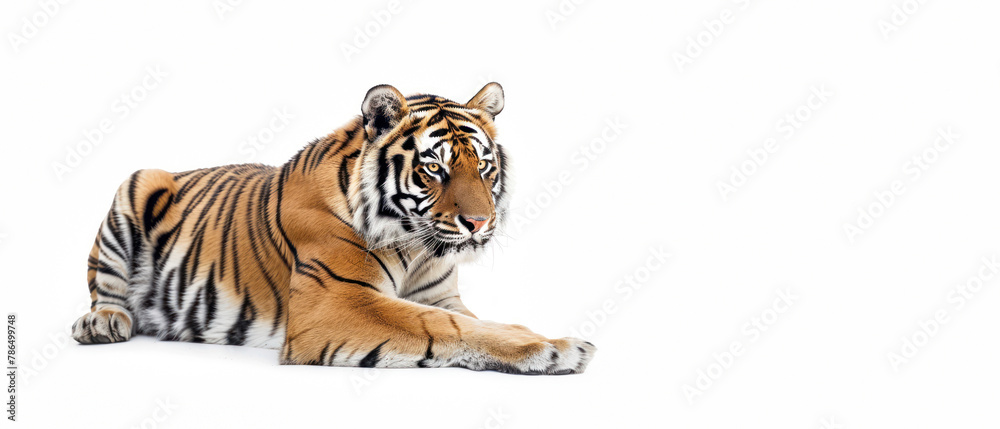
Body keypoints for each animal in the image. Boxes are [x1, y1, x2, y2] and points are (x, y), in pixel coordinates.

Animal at [70, 83, 596, 374]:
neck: (416, 244)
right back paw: (102, 323)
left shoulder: (440, 295)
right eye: (435, 169)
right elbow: (440, 326)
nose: (479, 222)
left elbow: (477, 324)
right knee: (106, 292)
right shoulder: (336, 300)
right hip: (138, 183)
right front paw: (557, 349)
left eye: (483, 166)